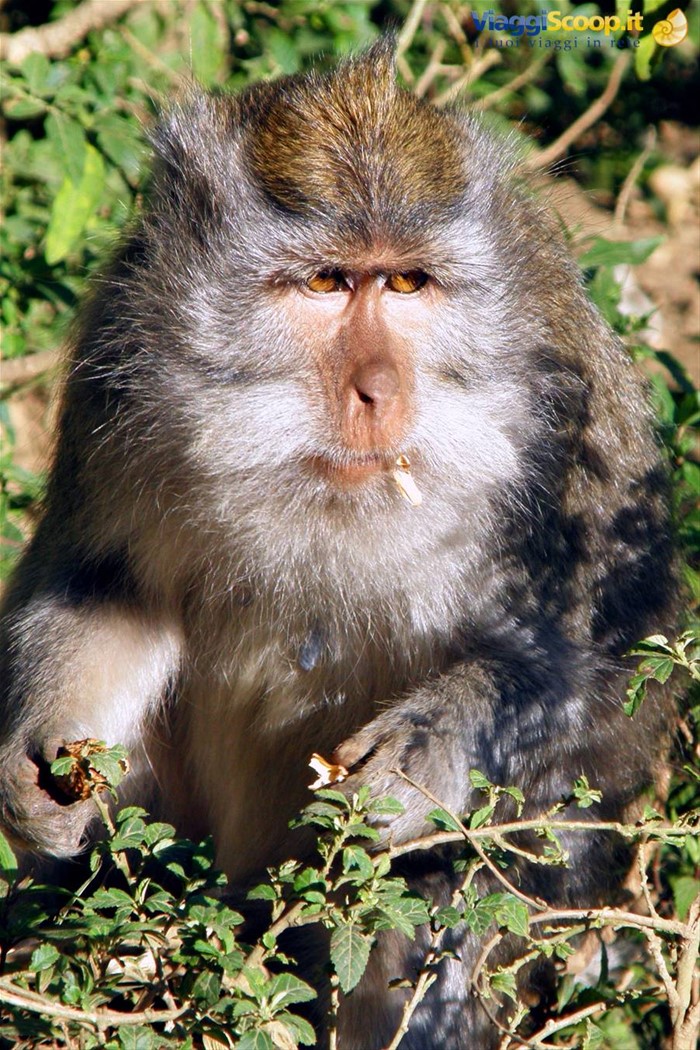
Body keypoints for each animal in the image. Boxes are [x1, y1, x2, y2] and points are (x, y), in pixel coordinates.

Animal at [0, 39, 677, 1049]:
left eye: (406, 283)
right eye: (327, 282)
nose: (374, 390)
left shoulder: (570, 407)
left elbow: (627, 657)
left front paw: (433, 742)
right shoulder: (118, 369)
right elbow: (105, 588)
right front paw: (32, 762)